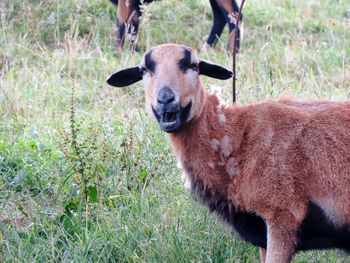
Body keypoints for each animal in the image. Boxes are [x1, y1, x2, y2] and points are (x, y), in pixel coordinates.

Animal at [106, 43, 350, 263]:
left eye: (193, 65)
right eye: (144, 69)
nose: (166, 99)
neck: (237, 139)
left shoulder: (283, 215)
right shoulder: (261, 232)